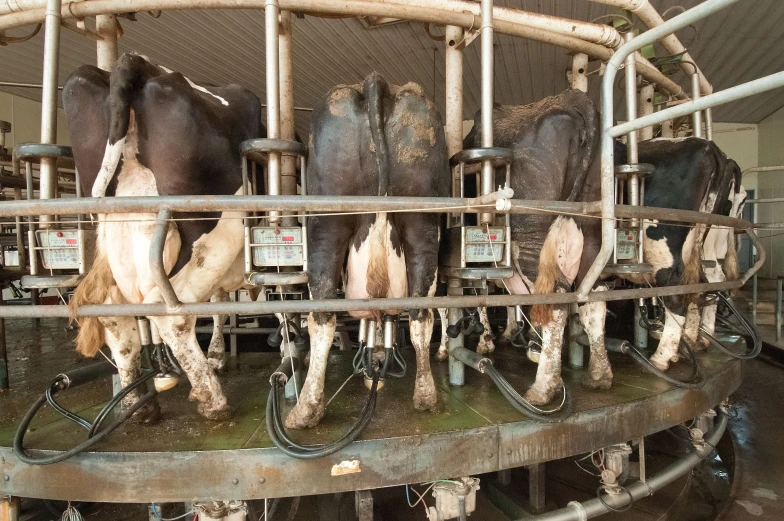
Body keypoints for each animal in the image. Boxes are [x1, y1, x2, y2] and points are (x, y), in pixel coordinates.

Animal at [62, 51, 264, 418]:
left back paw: (139, 405)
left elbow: (220, 302)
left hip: (122, 231)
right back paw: (212, 399)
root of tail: (137, 63)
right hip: (213, 233)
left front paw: (217, 353)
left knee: (113, 313)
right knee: (172, 311)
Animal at [286, 74, 448, 430]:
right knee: (421, 314)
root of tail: (375, 83)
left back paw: (305, 410)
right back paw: (426, 396)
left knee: (322, 316)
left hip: (326, 224)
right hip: (423, 223)